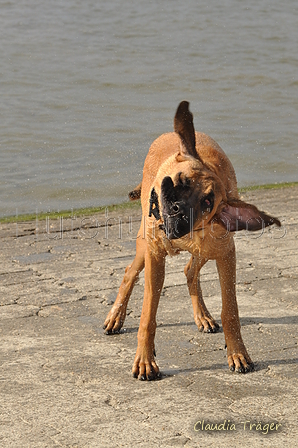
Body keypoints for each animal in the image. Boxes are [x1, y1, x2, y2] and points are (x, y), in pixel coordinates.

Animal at [103, 100, 280, 380]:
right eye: (181, 181)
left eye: (207, 202)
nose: (178, 209)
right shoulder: (155, 257)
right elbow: (148, 314)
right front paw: (145, 360)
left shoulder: (226, 254)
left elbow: (230, 310)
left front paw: (237, 353)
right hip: (144, 247)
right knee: (130, 273)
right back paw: (116, 316)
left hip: (208, 251)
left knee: (189, 271)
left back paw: (202, 316)